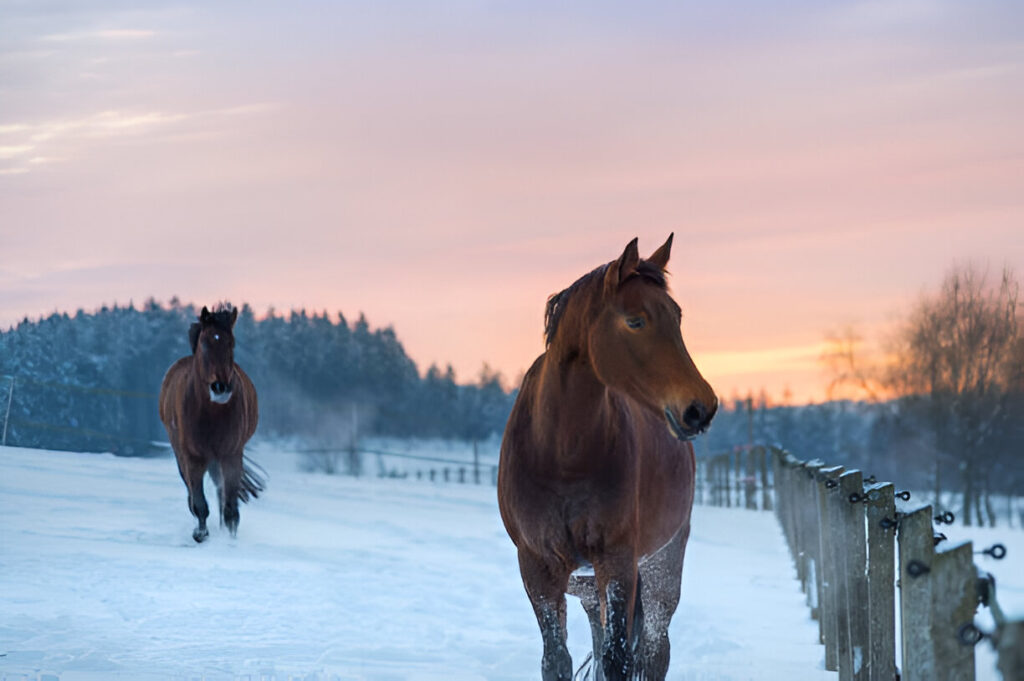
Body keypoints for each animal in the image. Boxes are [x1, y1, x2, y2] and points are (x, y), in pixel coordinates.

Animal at [158, 303, 262, 540]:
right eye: (205, 343)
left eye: (231, 343)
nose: (220, 388)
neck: (210, 414)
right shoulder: (192, 458)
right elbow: (199, 504)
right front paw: (200, 534)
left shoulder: (231, 455)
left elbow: (231, 509)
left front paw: (231, 540)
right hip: (185, 456)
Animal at [499, 235, 716, 679]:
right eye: (635, 321)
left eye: (677, 317)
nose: (700, 408)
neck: (562, 454)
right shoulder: (537, 568)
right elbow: (558, 660)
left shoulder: (616, 562)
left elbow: (619, 660)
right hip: (586, 588)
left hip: (660, 570)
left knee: (654, 652)